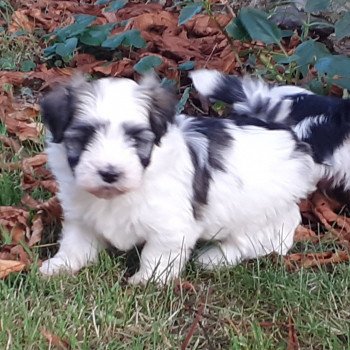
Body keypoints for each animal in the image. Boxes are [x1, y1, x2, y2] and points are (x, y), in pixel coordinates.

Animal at [39, 74, 316, 284]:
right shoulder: (81, 216)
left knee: (259, 239)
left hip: (260, 211)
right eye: (84, 137)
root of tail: (287, 135)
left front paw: (147, 280)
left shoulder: (170, 226)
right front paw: (60, 265)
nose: (109, 172)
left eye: (136, 140)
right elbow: (77, 242)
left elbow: (157, 253)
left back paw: (214, 257)